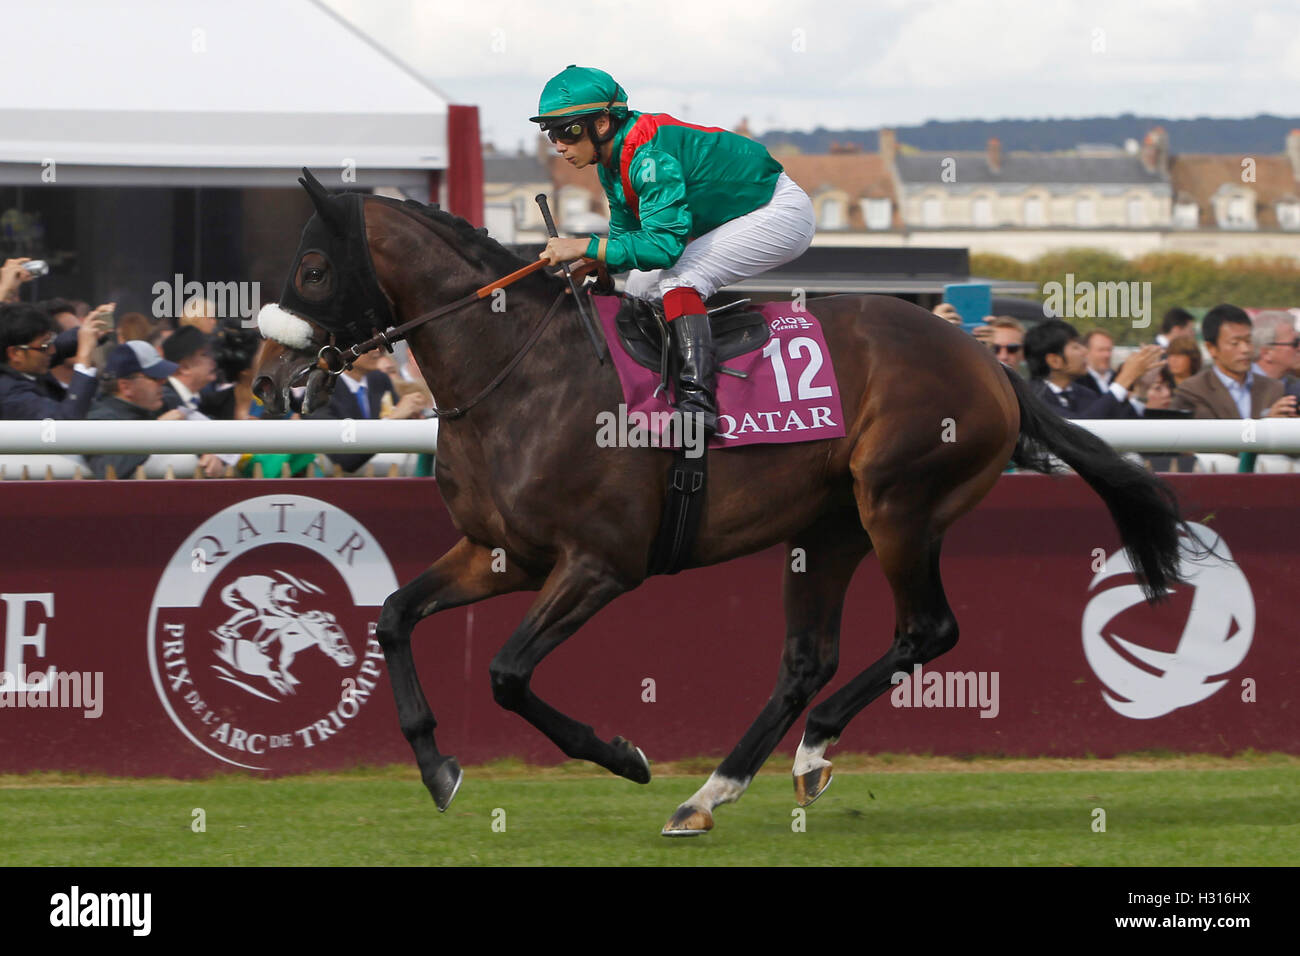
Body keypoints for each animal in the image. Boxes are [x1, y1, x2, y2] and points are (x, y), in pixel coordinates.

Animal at [248, 174, 1190, 837]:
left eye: (314, 268)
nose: (266, 379)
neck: (518, 375)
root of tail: (988, 362)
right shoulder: (499, 553)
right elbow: (394, 617)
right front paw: (437, 767)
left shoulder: (600, 565)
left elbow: (509, 672)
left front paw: (623, 755)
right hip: (827, 528)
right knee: (806, 659)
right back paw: (714, 791)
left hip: (899, 506)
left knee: (928, 630)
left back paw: (805, 748)